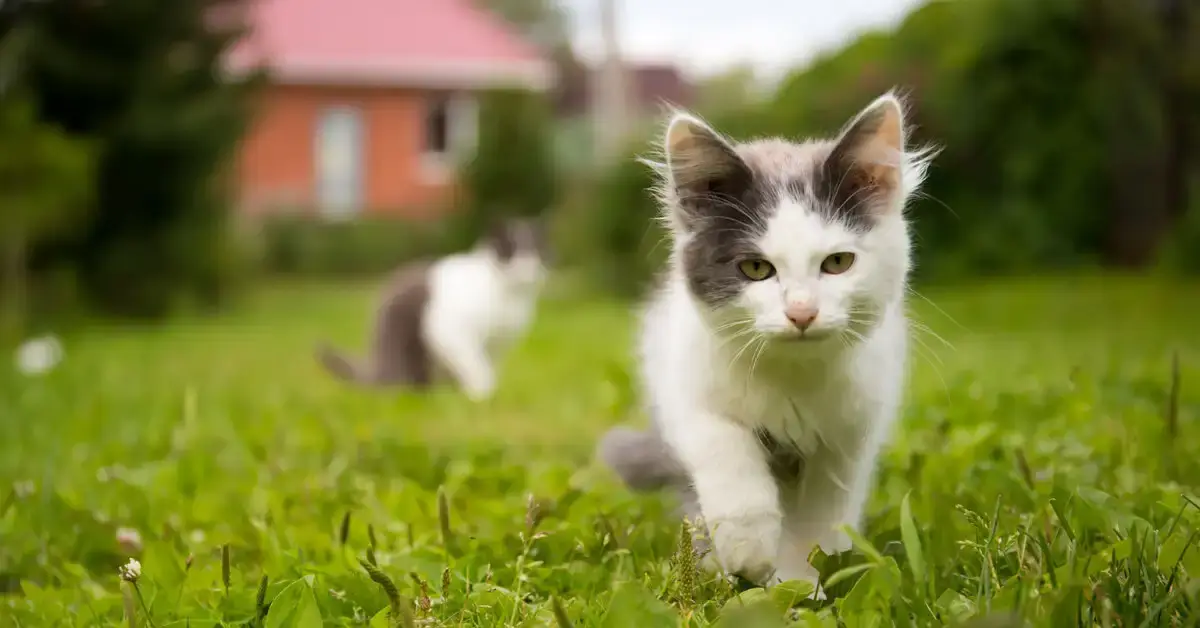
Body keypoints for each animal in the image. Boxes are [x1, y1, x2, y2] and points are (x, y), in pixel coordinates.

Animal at [316, 218, 547, 401]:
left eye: (537, 251)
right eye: (510, 251)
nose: (529, 266)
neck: (510, 296)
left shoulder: (497, 347)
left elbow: (488, 368)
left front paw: (478, 394)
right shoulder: (450, 332)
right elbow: (475, 365)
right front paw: (481, 395)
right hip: (402, 348)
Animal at [600, 92, 936, 590]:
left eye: (838, 262)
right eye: (756, 269)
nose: (801, 312)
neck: (792, 376)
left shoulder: (849, 437)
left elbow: (818, 523)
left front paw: (801, 583)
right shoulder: (684, 385)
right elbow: (728, 452)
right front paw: (749, 549)